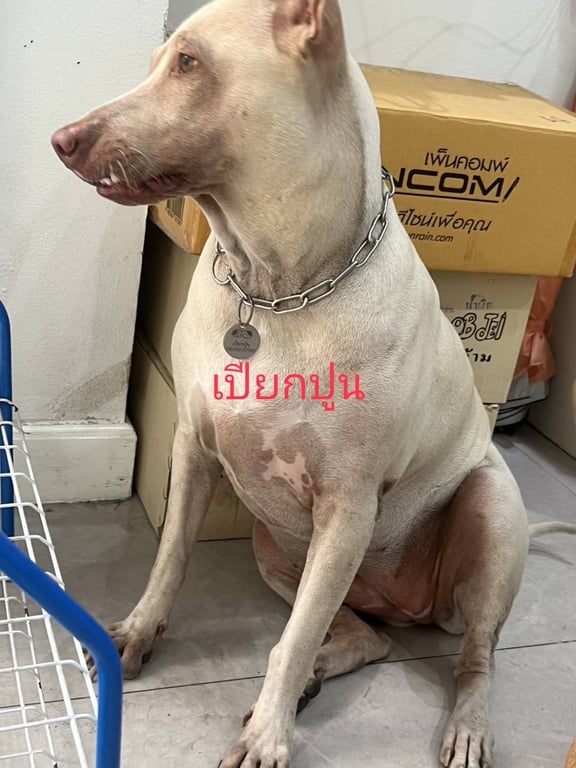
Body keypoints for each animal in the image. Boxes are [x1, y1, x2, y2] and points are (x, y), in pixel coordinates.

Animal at [51, 1, 576, 765]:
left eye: (189, 63)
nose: (61, 140)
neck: (276, 290)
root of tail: (406, 603)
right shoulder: (193, 451)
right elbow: (169, 559)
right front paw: (137, 633)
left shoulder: (347, 506)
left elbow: (290, 642)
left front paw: (267, 737)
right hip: (276, 548)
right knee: (364, 636)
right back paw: (324, 672)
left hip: (485, 515)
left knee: (473, 655)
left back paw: (465, 725)